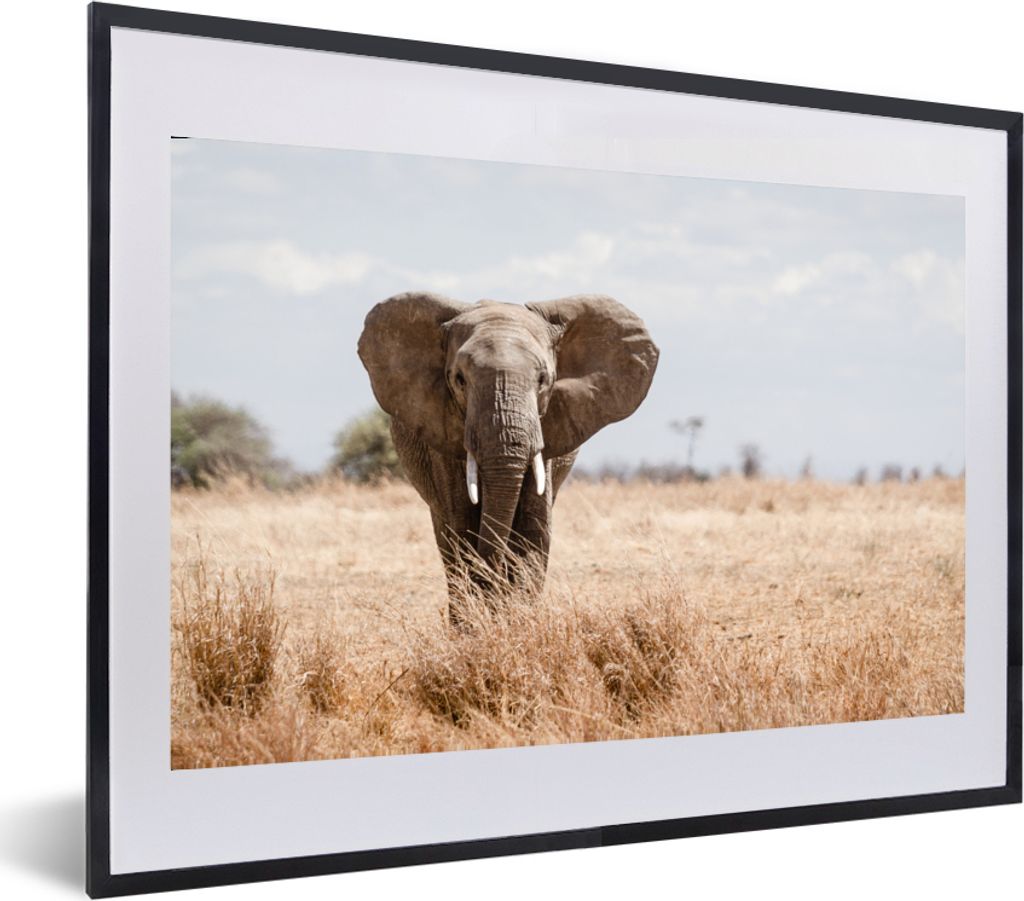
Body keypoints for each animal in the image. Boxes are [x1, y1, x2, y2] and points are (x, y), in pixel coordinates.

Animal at [357, 292, 659, 621]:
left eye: (543, 380)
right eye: (460, 379)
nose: (492, 586)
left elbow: (532, 530)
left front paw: (518, 621)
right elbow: (463, 526)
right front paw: (476, 624)